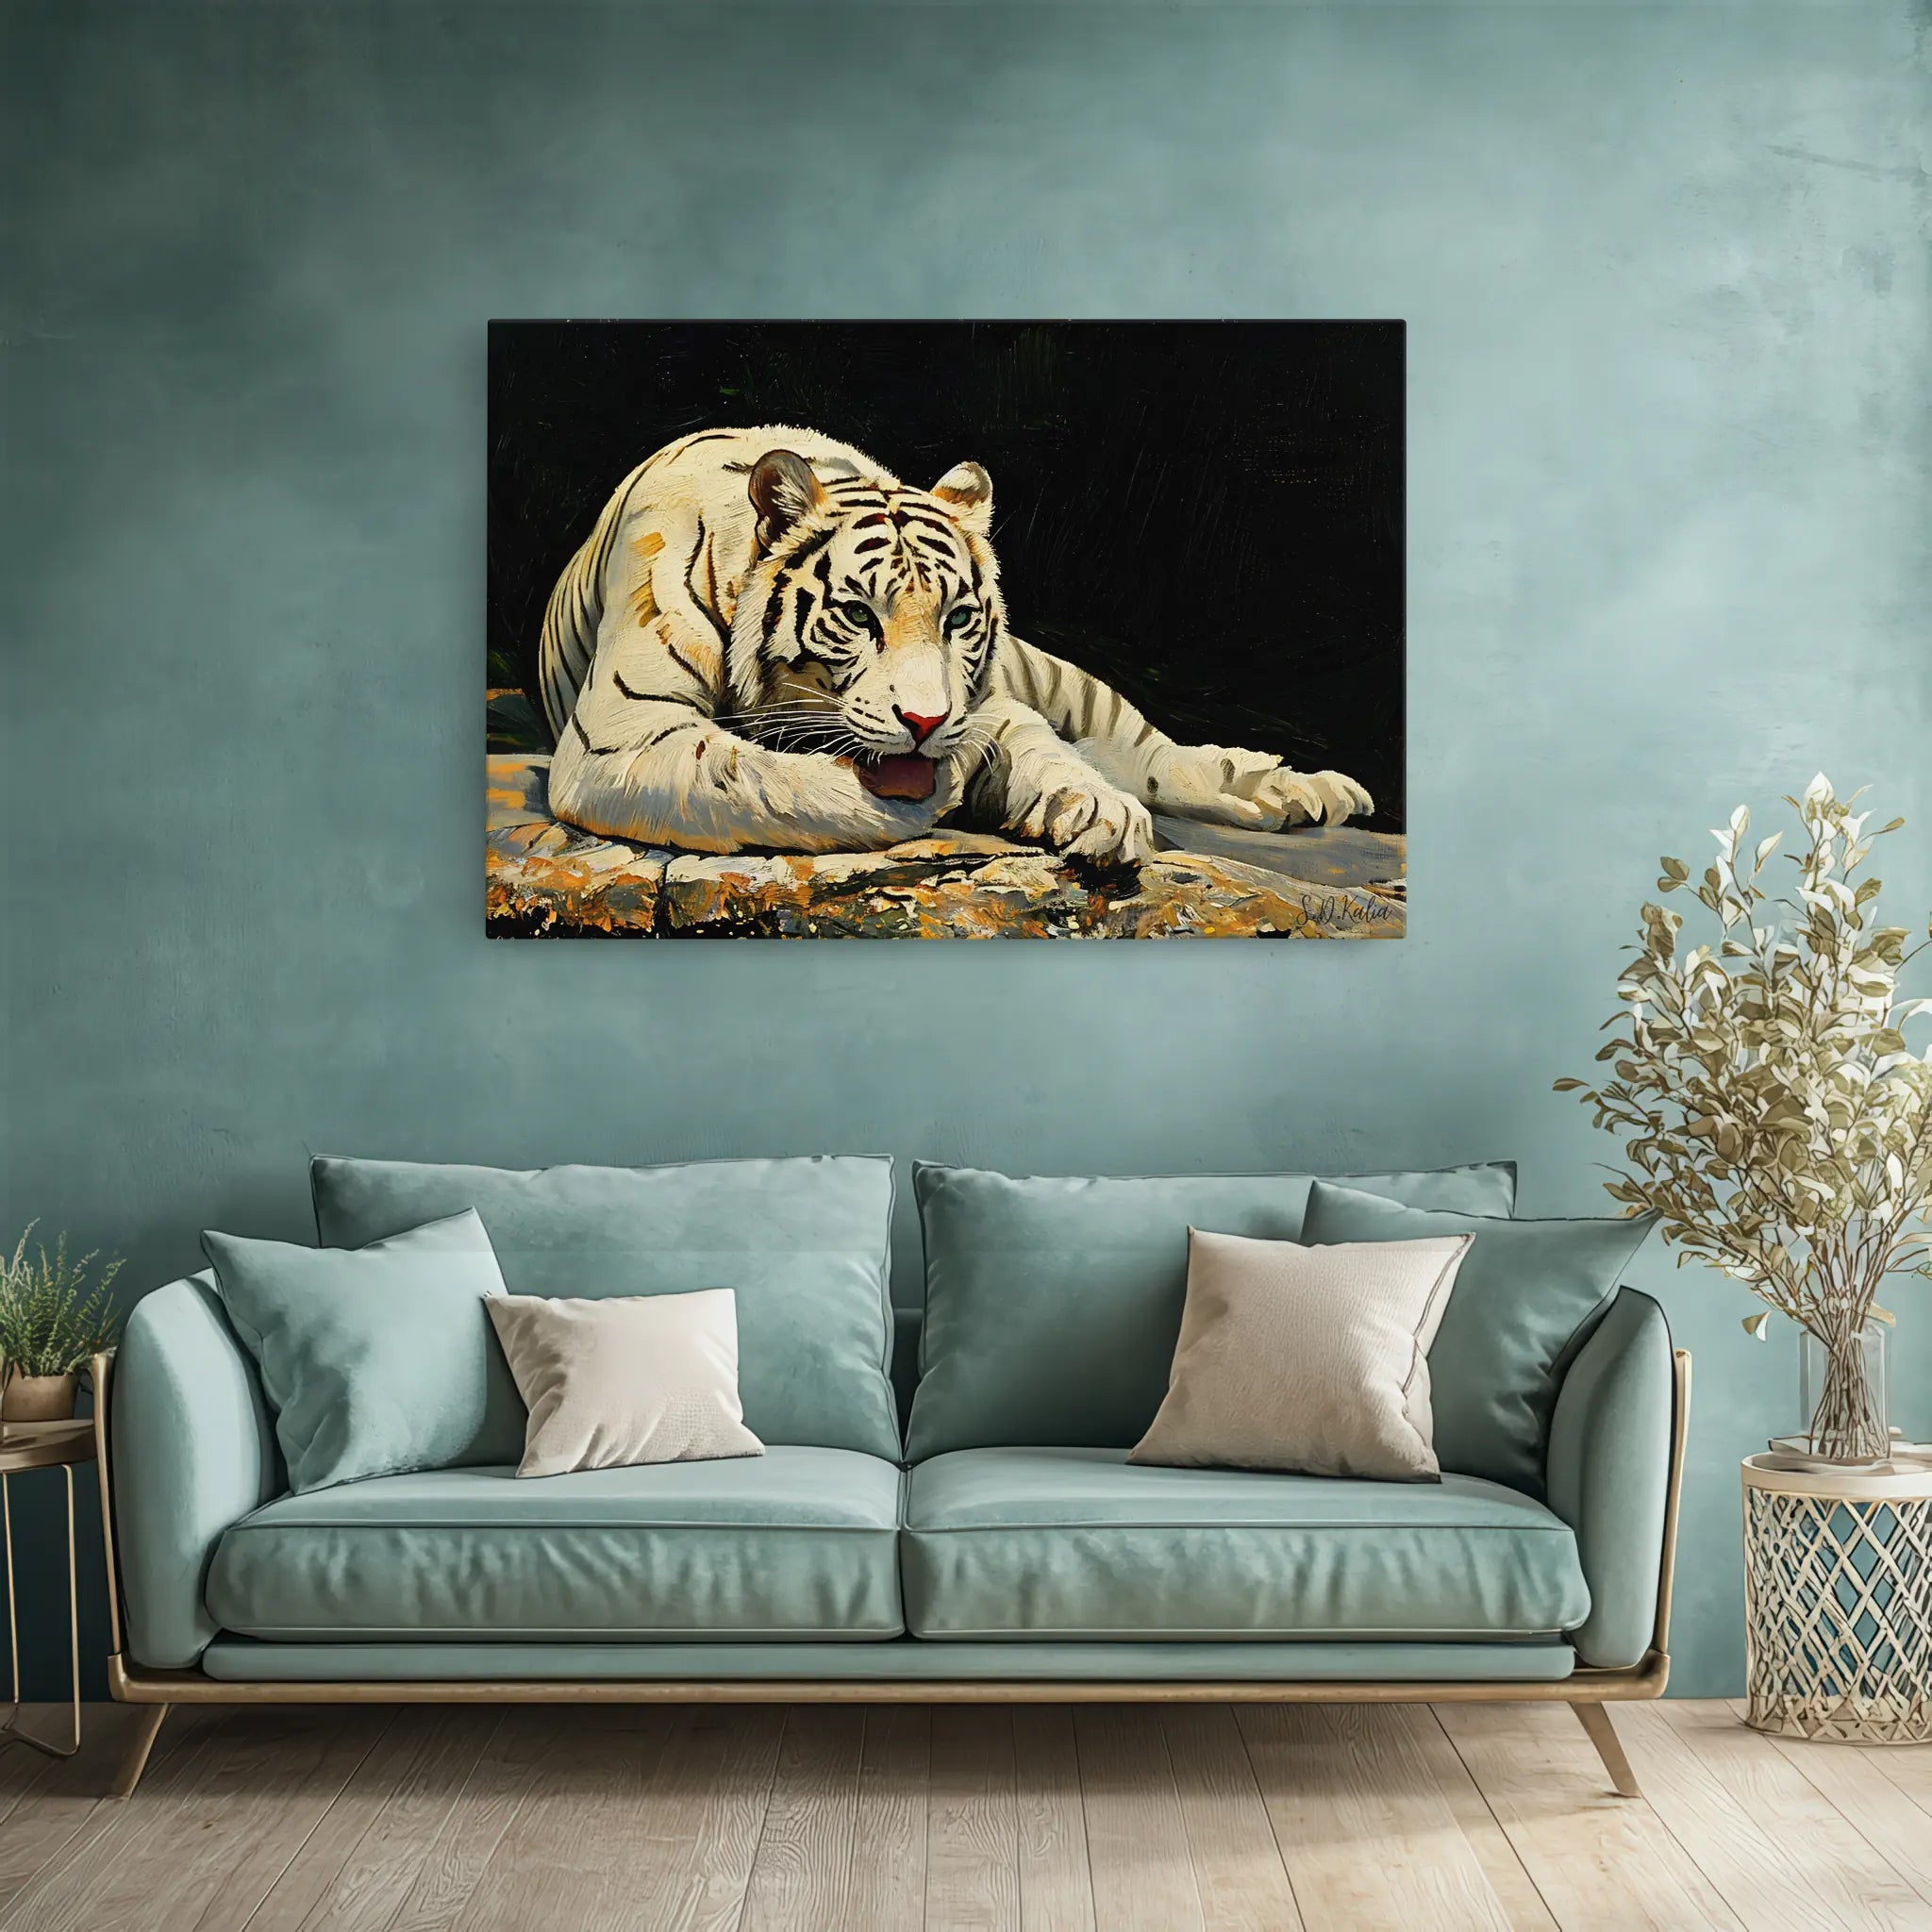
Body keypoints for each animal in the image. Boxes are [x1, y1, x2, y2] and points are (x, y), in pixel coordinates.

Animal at [537, 425, 1372, 862]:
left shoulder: (994, 698)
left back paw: (1305, 792)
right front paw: (938, 788)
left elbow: (1041, 744)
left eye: (958, 621)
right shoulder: (624, 735)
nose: (926, 723)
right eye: (859, 615)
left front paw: (1097, 809)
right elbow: (752, 777)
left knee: (1153, 754)